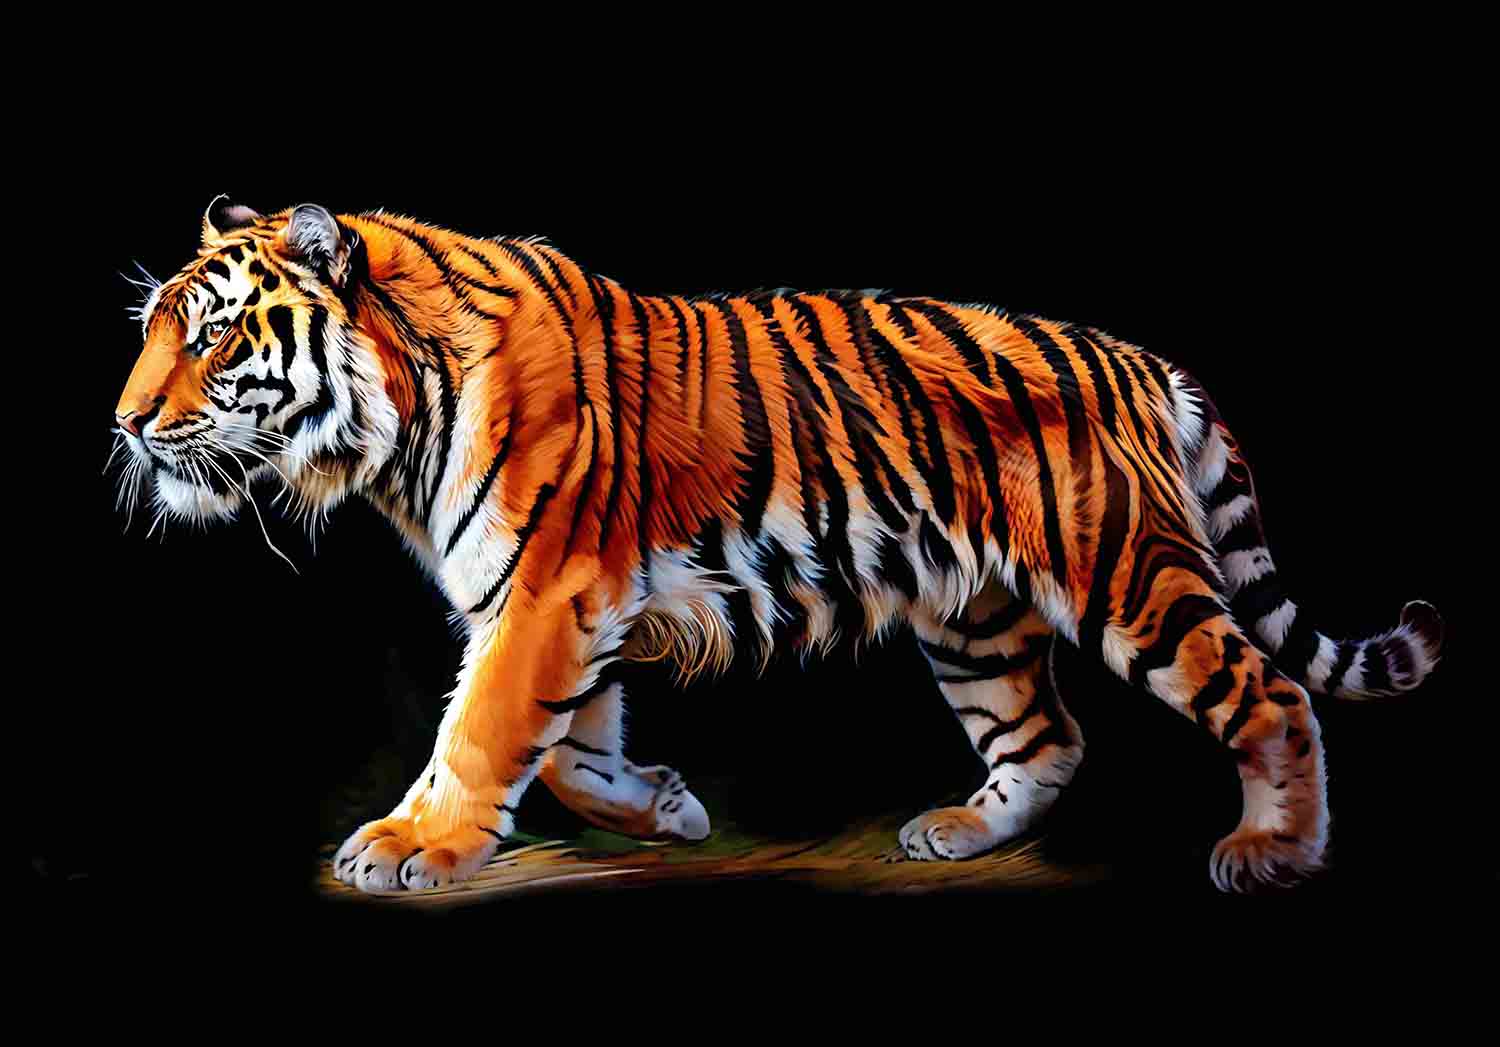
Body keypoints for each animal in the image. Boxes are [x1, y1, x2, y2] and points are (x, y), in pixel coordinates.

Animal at [112, 197, 1444, 894]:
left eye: (216, 336)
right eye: (154, 328)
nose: (122, 422)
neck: (395, 423)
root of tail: (1138, 360)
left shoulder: (544, 594)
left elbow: (482, 733)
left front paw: (414, 844)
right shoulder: (564, 606)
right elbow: (565, 753)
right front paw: (665, 808)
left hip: (1130, 578)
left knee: (1270, 694)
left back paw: (1274, 850)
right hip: (973, 622)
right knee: (1049, 736)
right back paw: (961, 833)